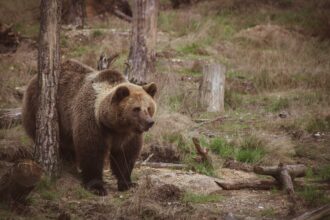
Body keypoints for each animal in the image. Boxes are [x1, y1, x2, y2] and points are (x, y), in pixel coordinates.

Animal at [22, 62, 157, 196]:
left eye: (149, 107)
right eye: (136, 109)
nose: (149, 122)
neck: (113, 126)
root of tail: (33, 79)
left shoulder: (129, 134)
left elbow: (126, 155)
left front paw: (128, 183)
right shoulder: (92, 122)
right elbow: (91, 150)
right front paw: (97, 187)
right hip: (42, 110)